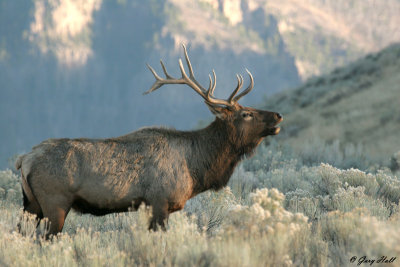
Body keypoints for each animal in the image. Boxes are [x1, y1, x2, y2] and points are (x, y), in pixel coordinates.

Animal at [15, 44, 282, 239]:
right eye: (246, 113)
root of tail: (25, 159)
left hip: (31, 204)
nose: (278, 115)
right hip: (55, 203)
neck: (196, 168)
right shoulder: (159, 201)